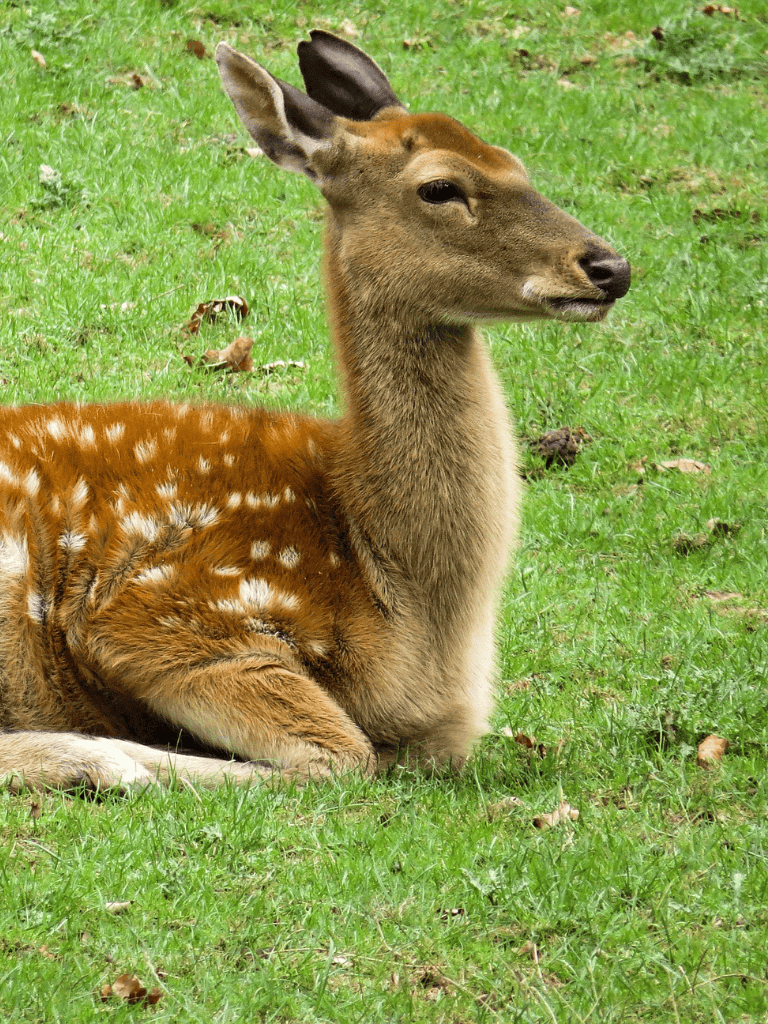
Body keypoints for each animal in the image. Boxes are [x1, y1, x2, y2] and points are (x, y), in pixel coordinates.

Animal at [0, 31, 629, 793]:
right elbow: (336, 755)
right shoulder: (165, 612)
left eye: (515, 164)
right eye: (440, 187)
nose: (610, 268)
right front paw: (112, 758)